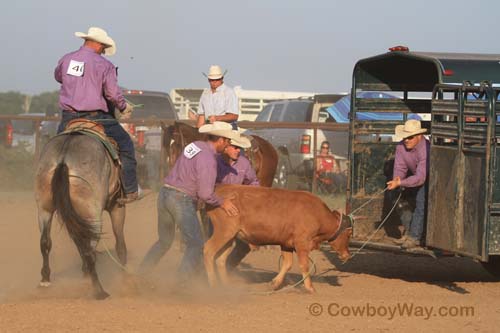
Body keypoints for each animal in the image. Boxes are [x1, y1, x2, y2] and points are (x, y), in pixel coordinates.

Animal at [34, 126, 126, 300]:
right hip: (93, 212)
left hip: (44, 208)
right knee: (90, 250)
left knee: (45, 242)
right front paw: (125, 272)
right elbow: (120, 243)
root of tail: (63, 158)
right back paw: (99, 291)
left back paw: (45, 279)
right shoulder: (117, 206)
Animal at [203, 184, 352, 290]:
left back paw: (226, 286)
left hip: (230, 237)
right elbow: (304, 265)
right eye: (349, 234)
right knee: (208, 250)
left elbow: (287, 264)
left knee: (221, 259)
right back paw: (213, 285)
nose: (347, 255)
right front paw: (310, 288)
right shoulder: (301, 242)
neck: (317, 214)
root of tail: (222, 189)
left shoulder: (286, 243)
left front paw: (275, 283)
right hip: (224, 232)